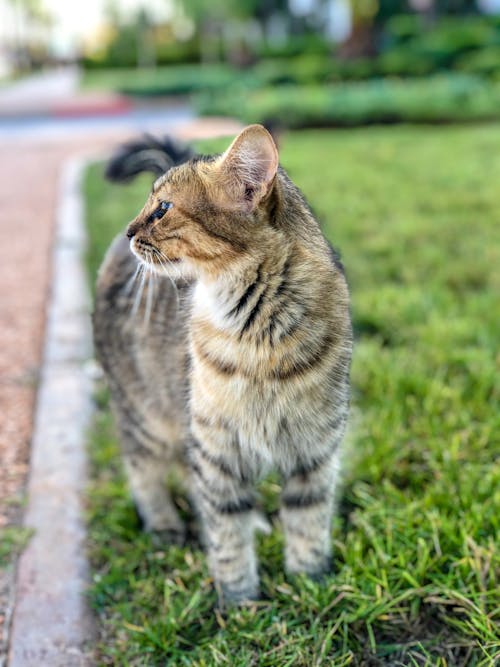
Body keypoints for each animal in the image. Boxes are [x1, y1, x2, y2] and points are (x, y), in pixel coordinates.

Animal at [93, 125, 352, 604]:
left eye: (162, 209)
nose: (129, 230)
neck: (259, 337)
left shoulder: (314, 450)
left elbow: (308, 524)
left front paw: (309, 584)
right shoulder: (215, 450)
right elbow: (226, 532)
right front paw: (240, 600)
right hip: (145, 418)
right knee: (144, 472)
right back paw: (164, 527)